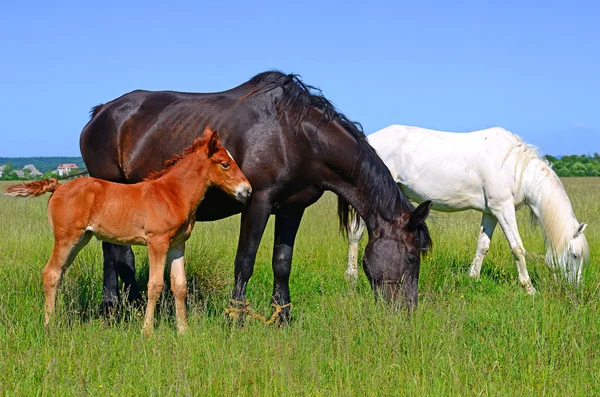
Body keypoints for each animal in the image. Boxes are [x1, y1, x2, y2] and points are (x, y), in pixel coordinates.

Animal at [4, 126, 251, 334]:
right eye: (225, 163)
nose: (247, 190)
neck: (172, 194)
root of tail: (58, 186)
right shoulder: (157, 242)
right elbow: (155, 285)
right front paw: (147, 331)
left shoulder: (178, 245)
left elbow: (179, 285)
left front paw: (183, 331)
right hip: (66, 238)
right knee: (51, 273)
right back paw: (49, 326)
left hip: (81, 238)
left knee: (59, 273)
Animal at [82, 72, 434, 318]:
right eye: (412, 256)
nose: (407, 313)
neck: (298, 137)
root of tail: (99, 113)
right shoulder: (257, 202)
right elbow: (245, 262)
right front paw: (236, 317)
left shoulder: (293, 209)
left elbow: (282, 263)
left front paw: (282, 317)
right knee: (111, 252)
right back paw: (112, 307)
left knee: (118, 252)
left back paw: (128, 304)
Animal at [344, 125, 588, 292]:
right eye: (574, 255)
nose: (575, 289)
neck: (517, 169)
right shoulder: (503, 209)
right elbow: (517, 248)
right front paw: (529, 288)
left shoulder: (491, 213)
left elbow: (483, 246)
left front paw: (473, 278)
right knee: (355, 235)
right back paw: (352, 277)